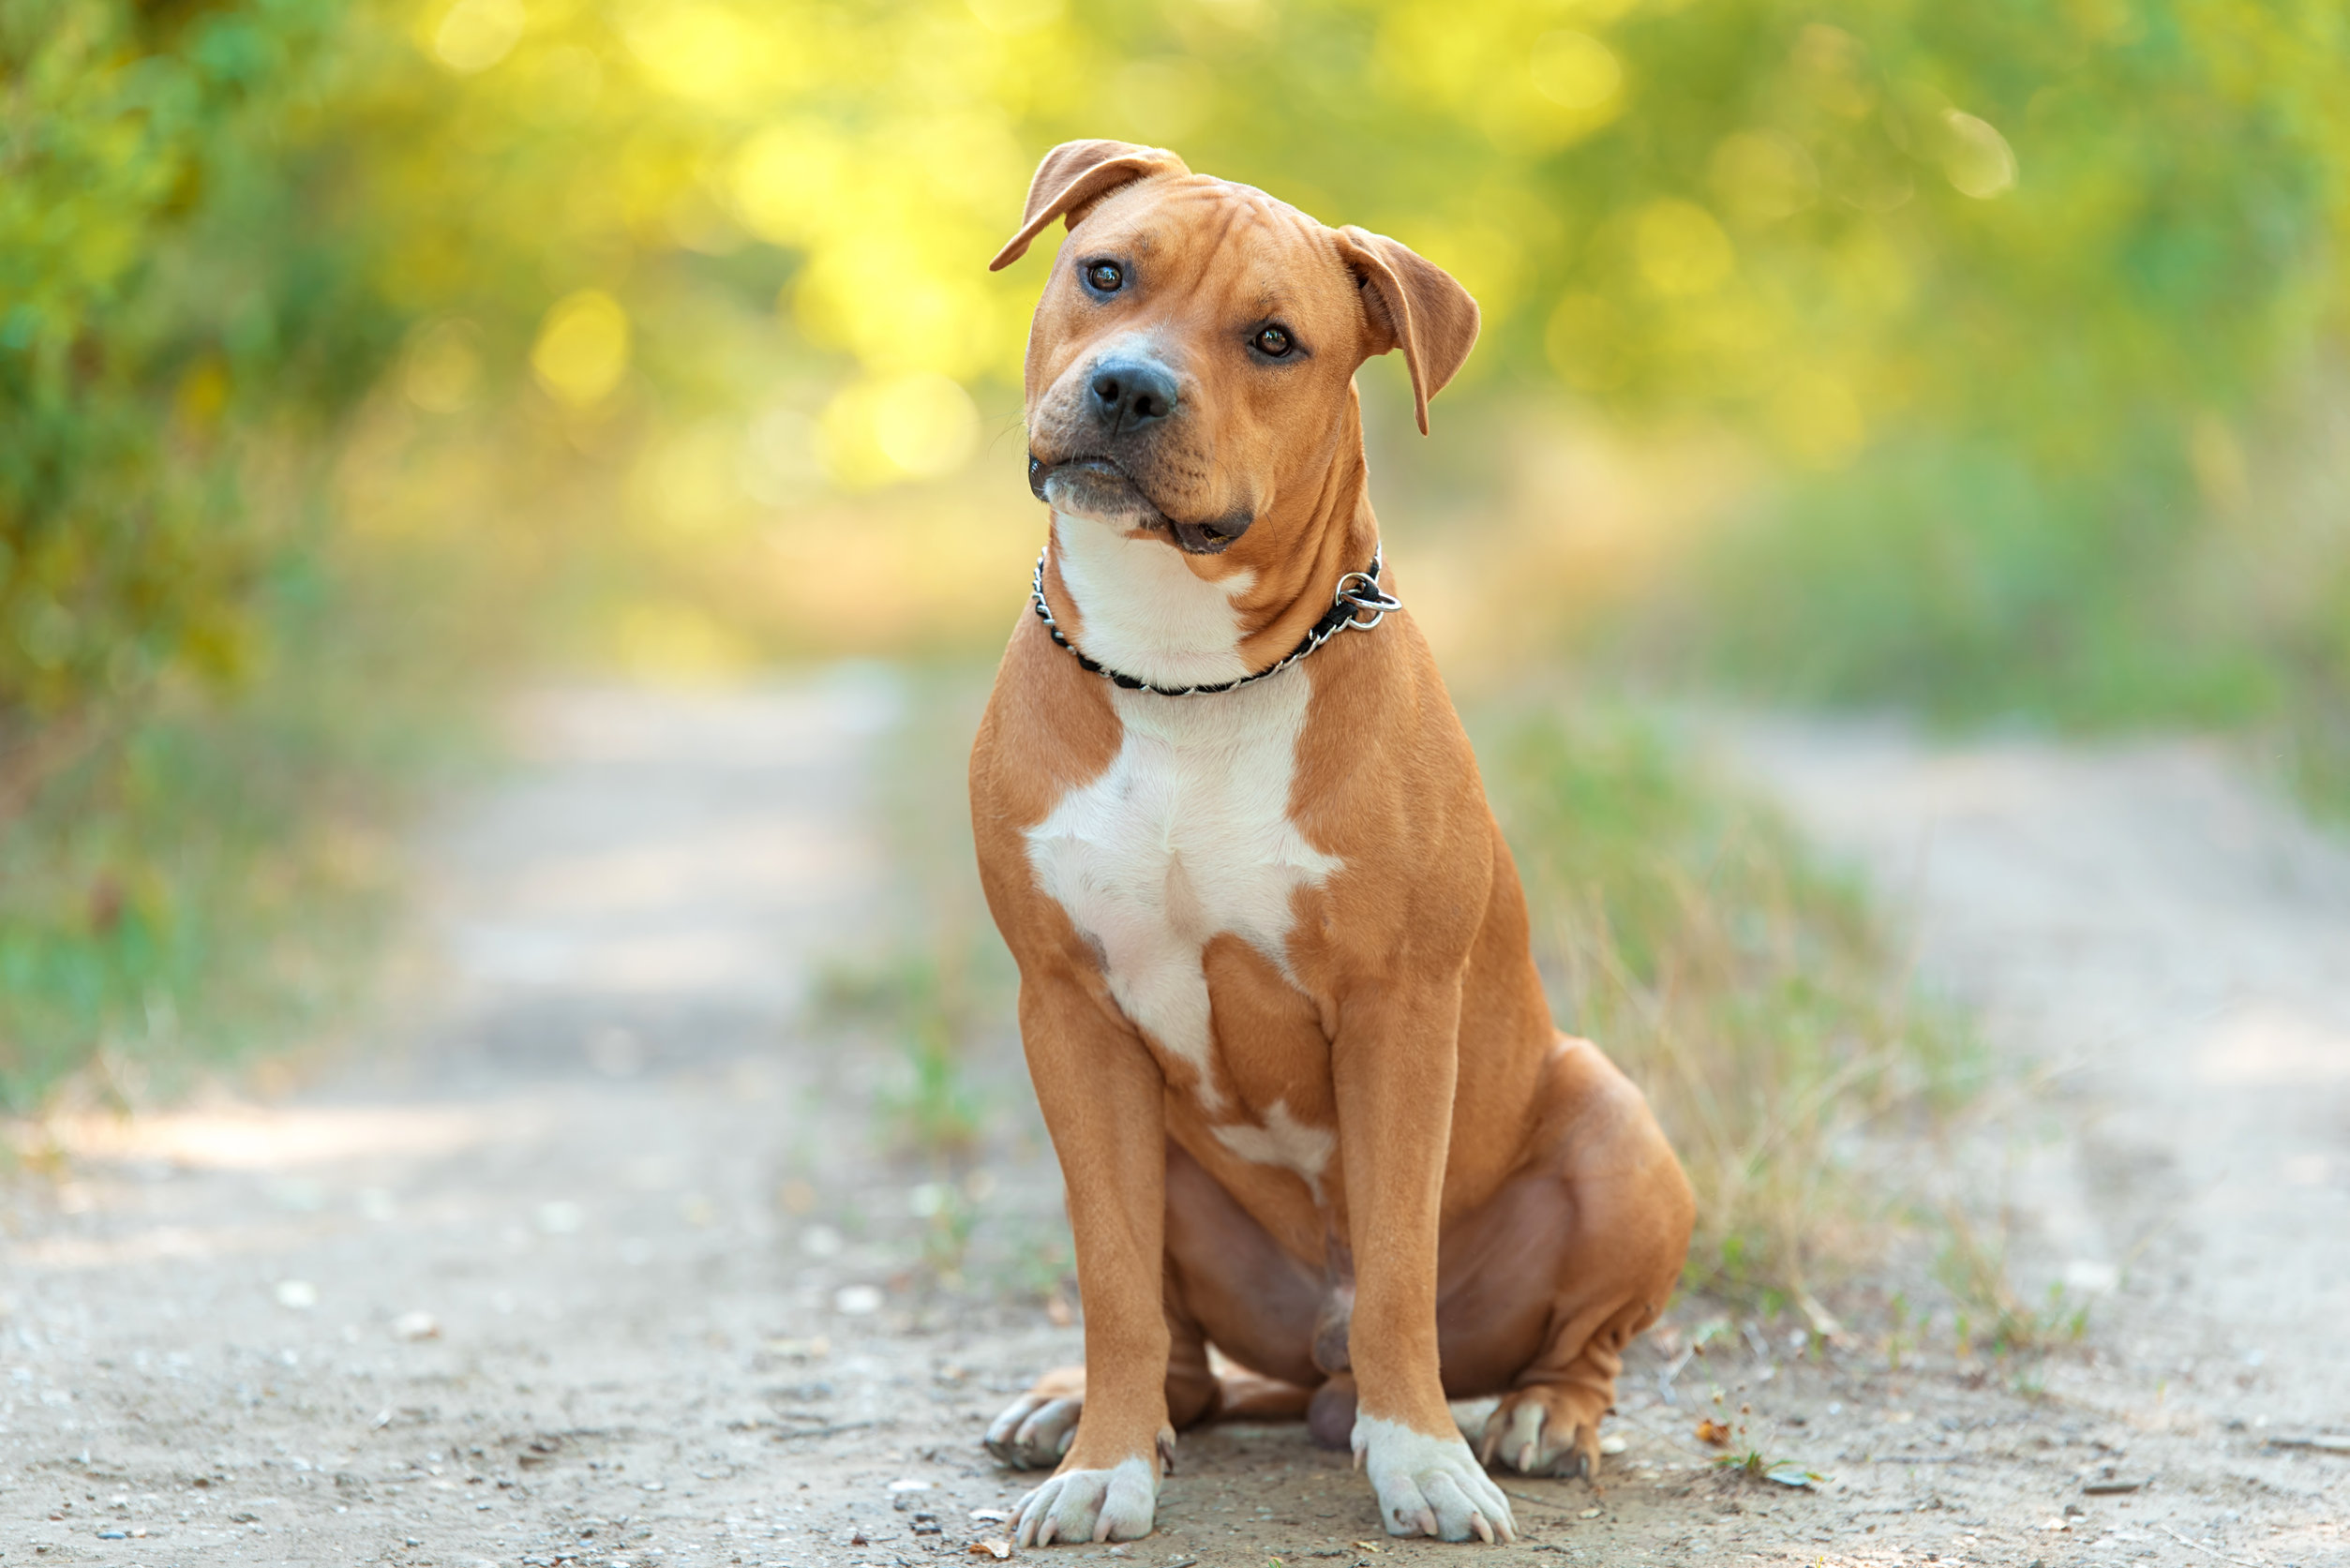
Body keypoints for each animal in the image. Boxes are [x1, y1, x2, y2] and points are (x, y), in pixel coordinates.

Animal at [963, 141, 1701, 1551]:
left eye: (1272, 340)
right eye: (1105, 274)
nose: (1129, 383)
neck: (1181, 672)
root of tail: (1305, 1371)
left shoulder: (1398, 1011)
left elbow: (1400, 1268)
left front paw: (1419, 1461)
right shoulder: (1065, 1011)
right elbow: (1111, 1277)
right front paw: (1102, 1465)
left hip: (1615, 1121)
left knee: (1573, 1336)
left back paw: (1540, 1414)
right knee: (1180, 1350)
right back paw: (1092, 1406)